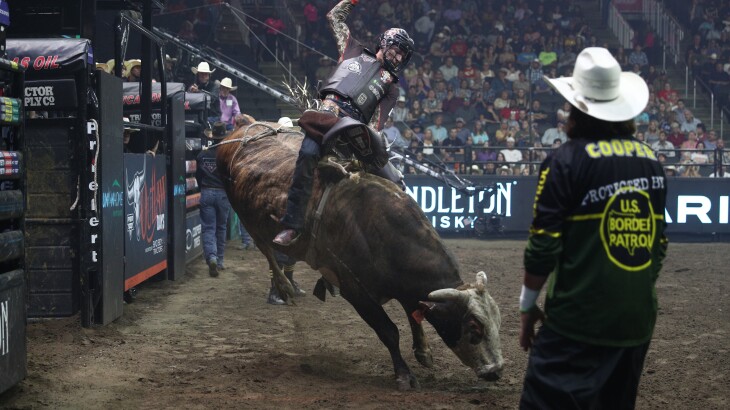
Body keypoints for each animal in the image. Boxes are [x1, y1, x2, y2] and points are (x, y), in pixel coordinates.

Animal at [215, 121, 500, 388]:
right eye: (474, 326)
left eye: (498, 321)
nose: (496, 370)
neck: (377, 227)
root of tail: (241, 131)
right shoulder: (355, 290)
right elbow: (388, 331)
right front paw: (404, 375)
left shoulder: (406, 288)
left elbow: (413, 312)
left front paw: (424, 351)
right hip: (246, 218)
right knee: (266, 249)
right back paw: (284, 287)